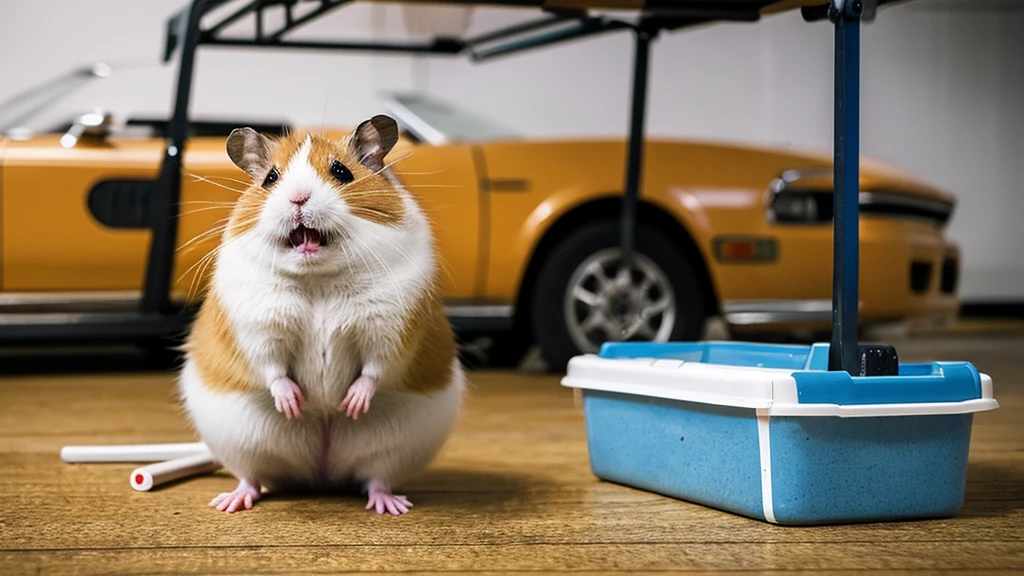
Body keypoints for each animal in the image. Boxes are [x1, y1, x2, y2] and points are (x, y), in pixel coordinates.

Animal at [176, 114, 464, 512]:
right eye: (271, 178)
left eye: (341, 172)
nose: (298, 198)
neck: (318, 278)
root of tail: (321, 471)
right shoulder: (258, 327)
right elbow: (273, 367)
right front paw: (294, 404)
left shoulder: (391, 327)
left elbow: (374, 368)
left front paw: (351, 404)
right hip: (239, 440)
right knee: (252, 476)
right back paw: (231, 501)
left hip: (397, 446)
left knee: (376, 477)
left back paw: (391, 505)